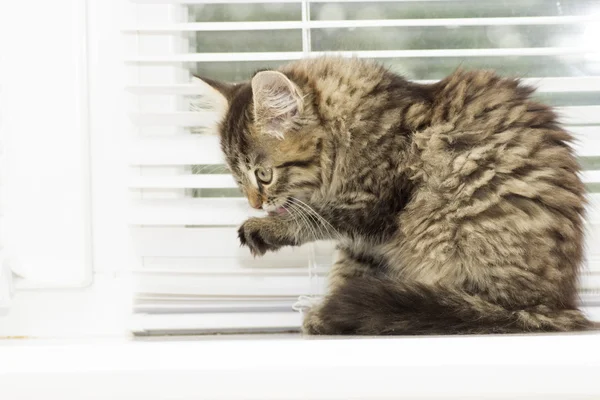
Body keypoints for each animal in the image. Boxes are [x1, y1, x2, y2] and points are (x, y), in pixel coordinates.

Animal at [196, 57, 592, 334]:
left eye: (264, 175)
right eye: (238, 179)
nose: (255, 203)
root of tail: (557, 304)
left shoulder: (374, 206)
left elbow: (318, 221)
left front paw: (267, 229)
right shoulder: (367, 241)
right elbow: (348, 269)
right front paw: (325, 312)